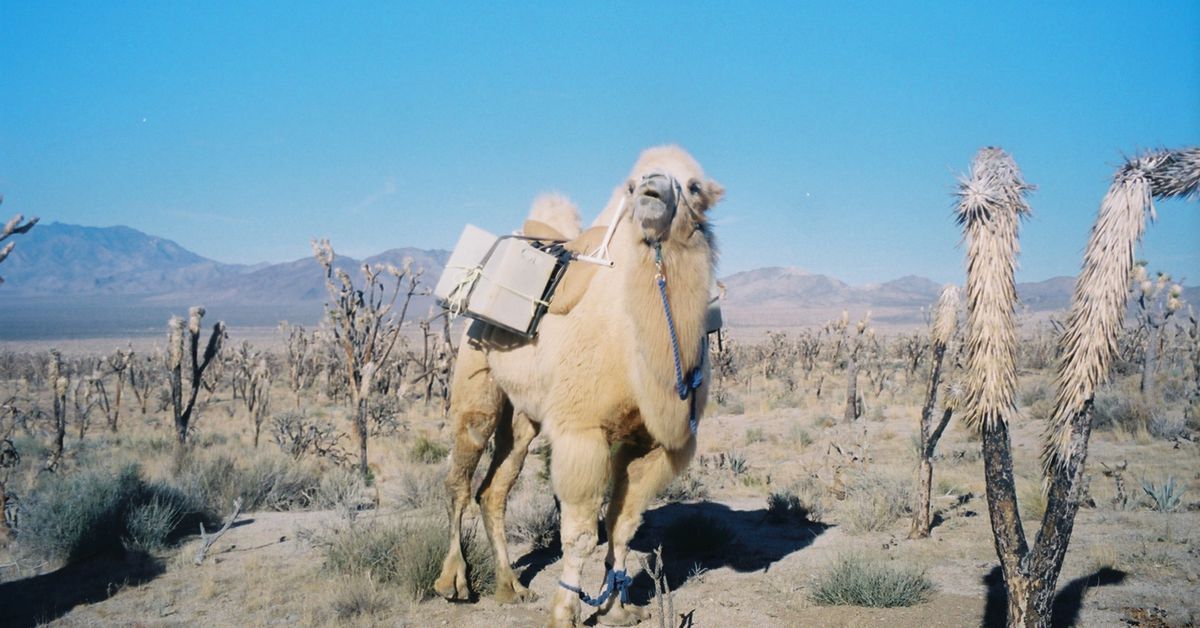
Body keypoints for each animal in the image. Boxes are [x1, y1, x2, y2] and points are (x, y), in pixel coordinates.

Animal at [436, 145, 724, 624]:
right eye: (634, 183)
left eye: (694, 186)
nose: (651, 191)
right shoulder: (582, 431)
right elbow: (582, 535)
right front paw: (565, 613)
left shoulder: (652, 445)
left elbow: (623, 526)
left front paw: (617, 608)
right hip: (477, 376)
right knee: (460, 476)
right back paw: (453, 582)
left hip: (524, 417)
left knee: (494, 489)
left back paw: (510, 587)